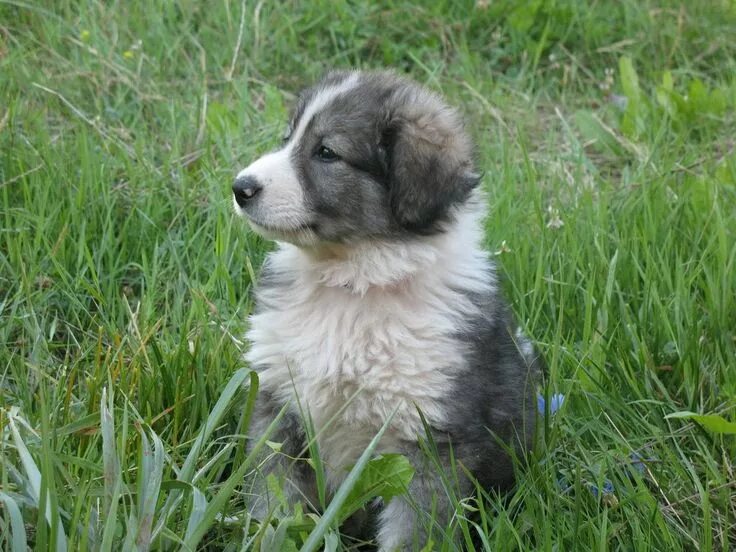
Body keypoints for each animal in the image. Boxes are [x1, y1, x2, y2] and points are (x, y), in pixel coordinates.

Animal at [233, 70, 536, 552]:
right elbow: (275, 508)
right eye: (288, 137)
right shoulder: (278, 413)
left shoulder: (428, 444)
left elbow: (415, 534)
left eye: (326, 152)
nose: (240, 187)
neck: (354, 283)